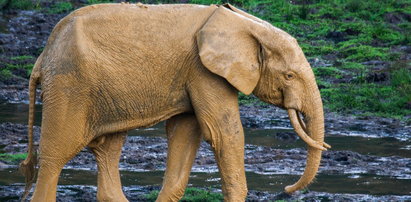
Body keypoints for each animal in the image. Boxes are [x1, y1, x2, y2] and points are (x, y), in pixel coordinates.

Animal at [20, 3, 332, 202]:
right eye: (289, 76)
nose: (286, 189)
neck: (243, 24)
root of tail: (43, 55)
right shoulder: (204, 70)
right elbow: (223, 133)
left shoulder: (193, 72)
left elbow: (185, 134)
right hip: (69, 85)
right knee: (55, 156)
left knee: (108, 148)